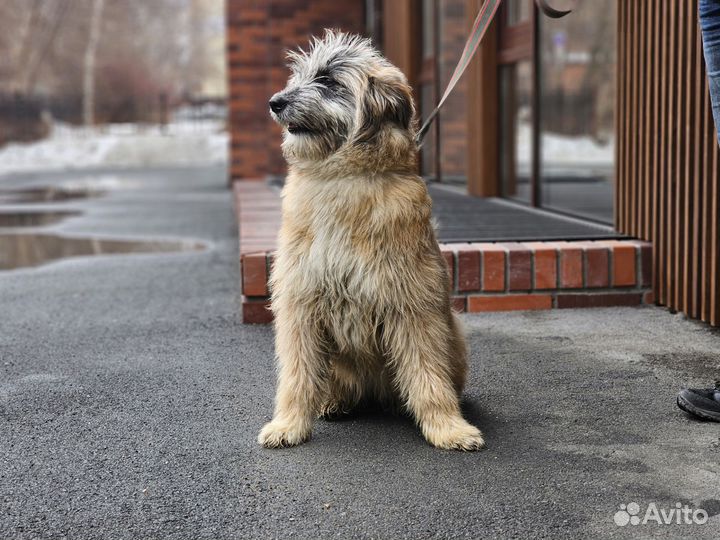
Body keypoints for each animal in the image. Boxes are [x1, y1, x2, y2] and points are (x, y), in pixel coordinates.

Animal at [258, 30, 484, 452]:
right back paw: (331, 402)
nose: (275, 102)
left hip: (454, 337)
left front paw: (448, 427)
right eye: (300, 76)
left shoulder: (413, 306)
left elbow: (429, 376)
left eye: (329, 80)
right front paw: (288, 424)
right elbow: (296, 375)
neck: (343, 178)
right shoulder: (300, 303)